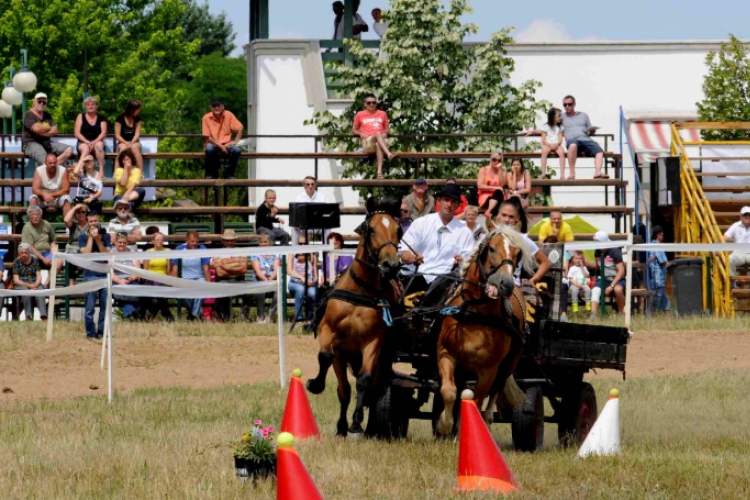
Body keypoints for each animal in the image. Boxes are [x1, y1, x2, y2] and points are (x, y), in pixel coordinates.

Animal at [306, 197, 402, 436]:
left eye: (398, 230)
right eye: (372, 229)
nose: (392, 266)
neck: (361, 291)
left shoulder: (374, 341)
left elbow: (364, 381)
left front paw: (357, 422)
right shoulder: (328, 331)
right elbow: (325, 357)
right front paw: (316, 384)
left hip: (382, 359)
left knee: (374, 388)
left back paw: (369, 427)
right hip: (342, 357)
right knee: (344, 389)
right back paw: (342, 426)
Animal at [434, 225, 540, 436]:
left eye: (517, 254)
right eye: (491, 249)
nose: (506, 284)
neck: (475, 312)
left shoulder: (489, 369)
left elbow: (477, 399)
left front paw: (466, 430)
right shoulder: (446, 353)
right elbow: (449, 392)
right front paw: (444, 424)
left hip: (508, 364)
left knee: (495, 390)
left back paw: (487, 419)